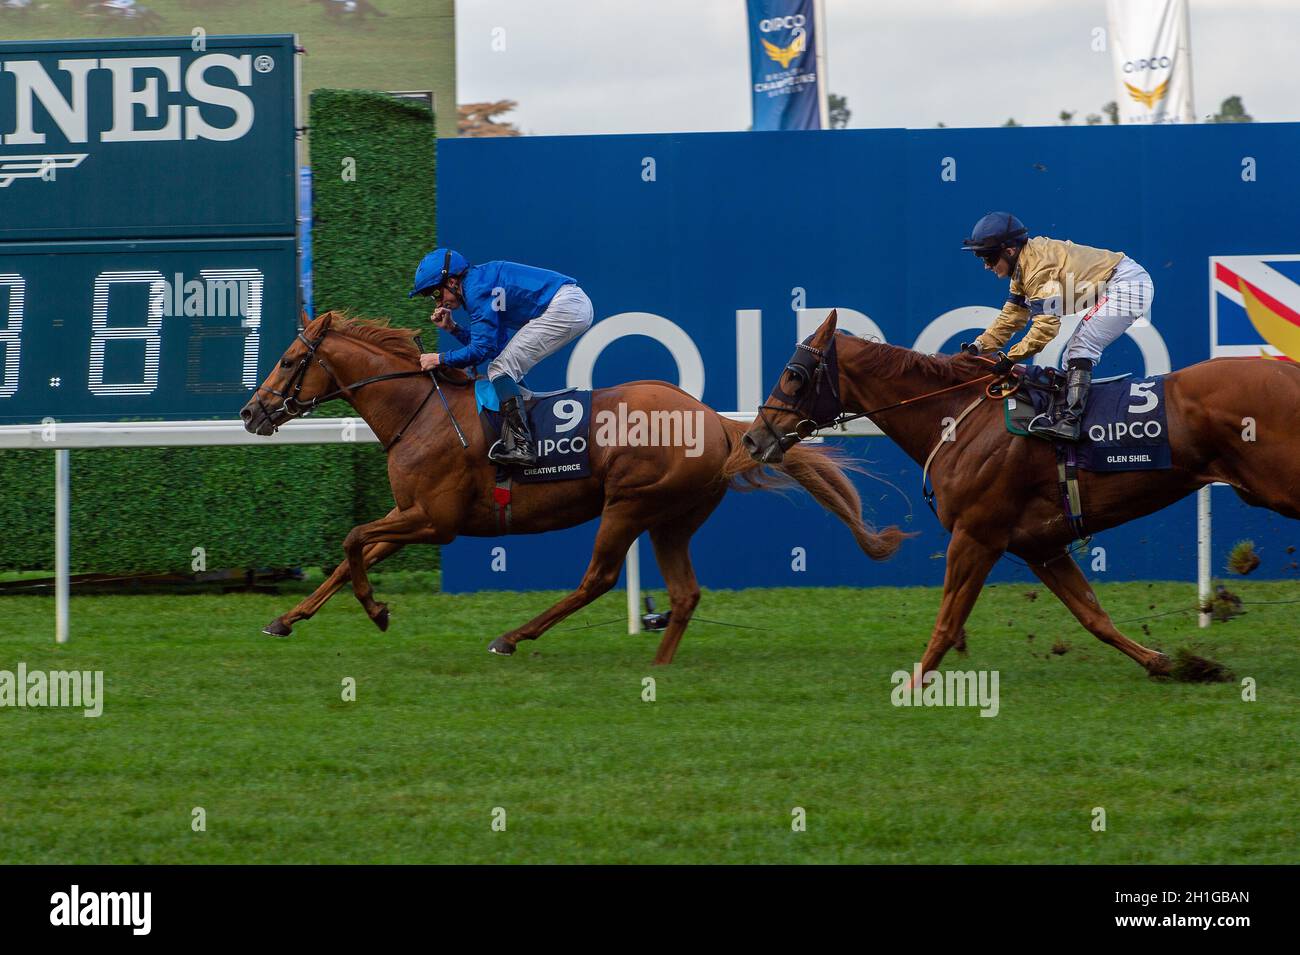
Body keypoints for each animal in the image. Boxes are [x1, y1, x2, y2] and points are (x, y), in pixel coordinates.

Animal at [239, 314, 904, 665]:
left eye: (289, 359)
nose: (251, 412)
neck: (420, 411)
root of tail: (718, 421)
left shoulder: (436, 519)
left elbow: (353, 539)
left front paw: (376, 610)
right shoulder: (412, 511)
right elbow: (350, 554)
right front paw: (286, 619)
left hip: (631, 503)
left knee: (599, 579)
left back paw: (513, 636)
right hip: (673, 517)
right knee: (684, 593)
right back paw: (661, 664)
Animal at [743, 311, 1300, 680]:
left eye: (793, 375)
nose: (754, 438)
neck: (957, 419)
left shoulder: (976, 535)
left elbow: (948, 618)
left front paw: (916, 684)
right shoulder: (1040, 546)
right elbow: (1093, 615)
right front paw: (1167, 662)